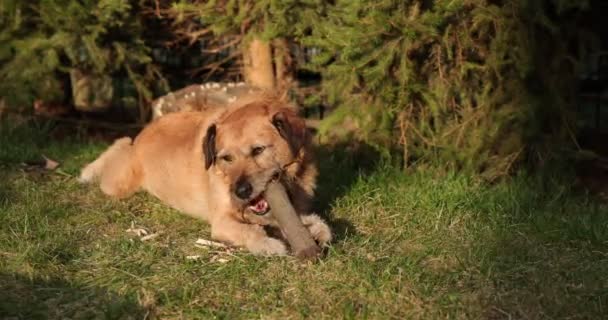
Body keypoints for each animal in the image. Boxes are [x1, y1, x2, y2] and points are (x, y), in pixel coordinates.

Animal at [79, 92, 332, 255]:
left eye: (258, 150)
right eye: (226, 157)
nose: (240, 192)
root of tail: (142, 134)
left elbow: (310, 221)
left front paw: (318, 229)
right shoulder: (221, 222)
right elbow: (251, 231)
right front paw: (269, 245)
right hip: (118, 182)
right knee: (119, 144)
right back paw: (89, 170)